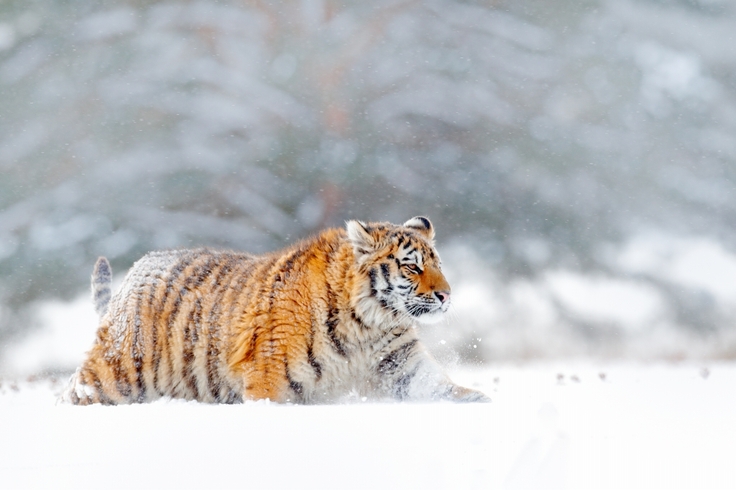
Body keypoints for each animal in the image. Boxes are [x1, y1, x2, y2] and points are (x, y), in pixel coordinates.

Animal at [61, 216, 488, 404]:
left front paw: (484, 403)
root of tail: (135, 271)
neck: (369, 323)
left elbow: (445, 389)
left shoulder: (401, 366)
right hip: (111, 377)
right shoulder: (268, 378)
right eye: (412, 266)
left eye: (438, 263)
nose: (447, 295)